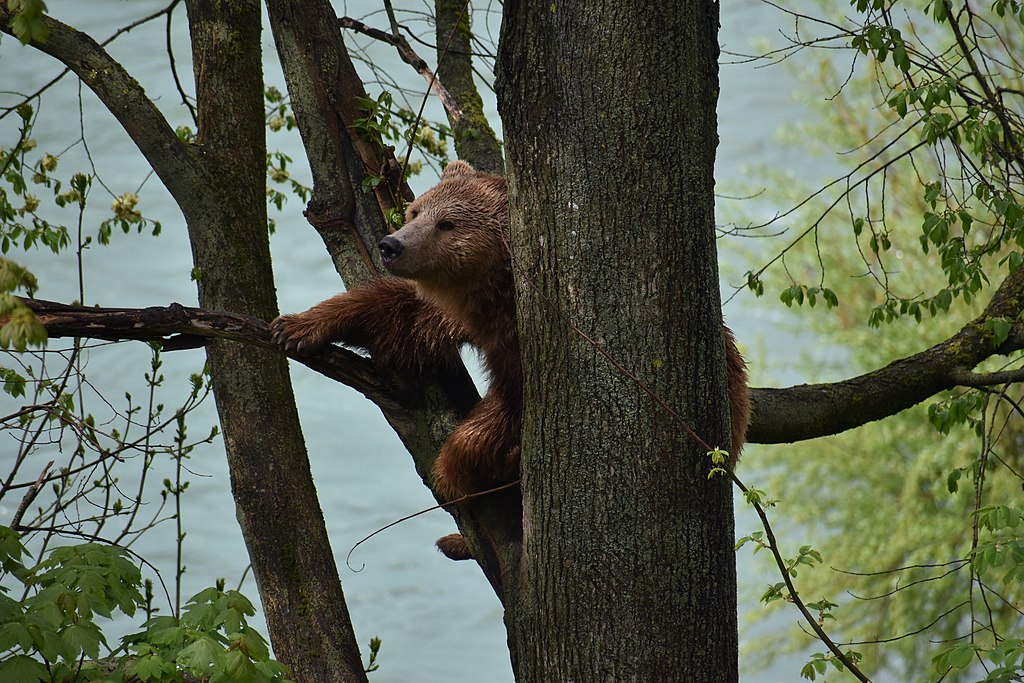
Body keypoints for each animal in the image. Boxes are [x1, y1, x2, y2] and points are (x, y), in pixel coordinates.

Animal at [272, 162, 753, 552]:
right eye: (416, 211)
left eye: (447, 223)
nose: (392, 244)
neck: (499, 296)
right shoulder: (465, 314)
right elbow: (400, 318)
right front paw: (298, 325)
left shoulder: (523, 347)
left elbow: (500, 419)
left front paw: (457, 466)